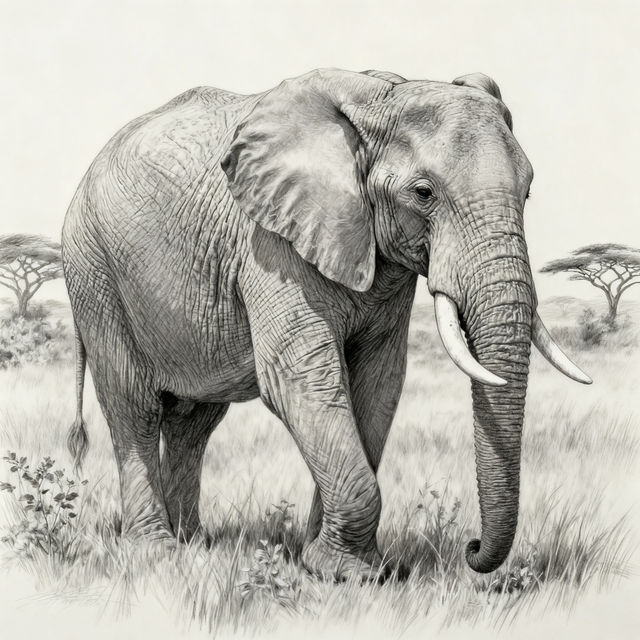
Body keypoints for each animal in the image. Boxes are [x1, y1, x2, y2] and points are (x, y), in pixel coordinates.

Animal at [62, 67, 591, 579]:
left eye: (527, 191)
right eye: (423, 194)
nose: (472, 548)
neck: (383, 95)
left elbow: (378, 384)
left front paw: (336, 562)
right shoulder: (272, 244)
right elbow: (301, 379)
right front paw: (348, 575)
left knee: (195, 423)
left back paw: (195, 544)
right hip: (94, 271)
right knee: (133, 406)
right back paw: (155, 552)